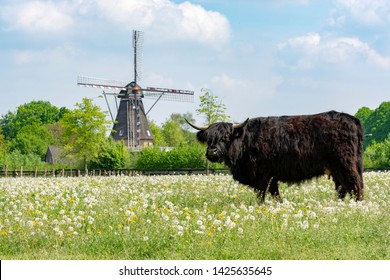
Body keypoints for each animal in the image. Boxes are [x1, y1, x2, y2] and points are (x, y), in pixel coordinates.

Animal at [187, 110, 364, 202]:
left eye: (225, 137)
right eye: (208, 138)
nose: (212, 151)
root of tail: (351, 119)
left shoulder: (263, 173)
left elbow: (261, 193)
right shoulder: (272, 176)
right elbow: (275, 194)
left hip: (345, 163)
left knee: (355, 185)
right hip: (337, 168)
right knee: (343, 187)